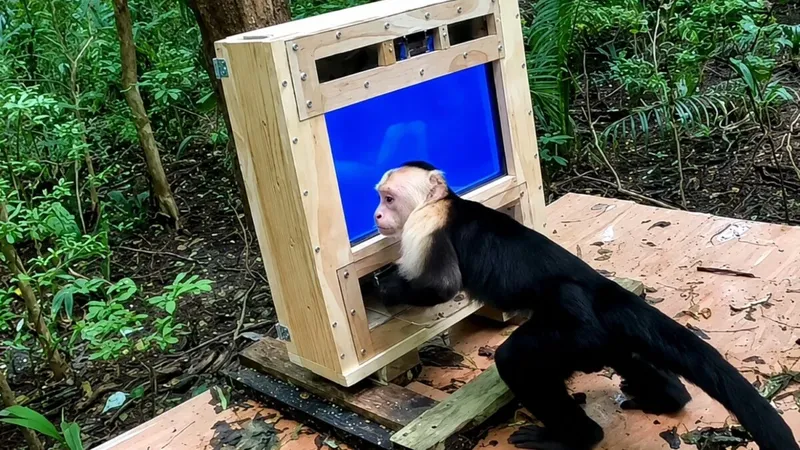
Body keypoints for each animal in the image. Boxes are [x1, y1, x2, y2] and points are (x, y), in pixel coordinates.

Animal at [372, 161, 799, 450]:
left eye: (388, 198)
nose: (376, 215)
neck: (445, 201)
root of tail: (600, 289)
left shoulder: (425, 224)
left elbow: (440, 287)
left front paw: (386, 288)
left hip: (573, 333)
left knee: (518, 359)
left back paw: (574, 437)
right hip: (597, 337)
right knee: (626, 353)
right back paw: (666, 396)